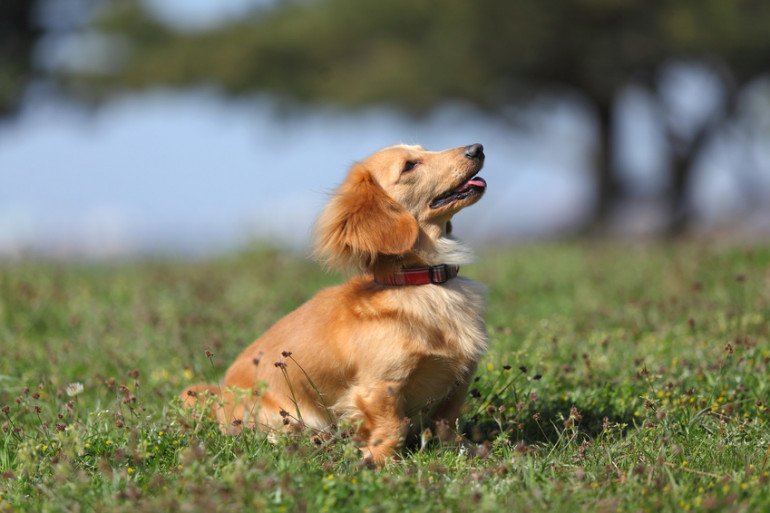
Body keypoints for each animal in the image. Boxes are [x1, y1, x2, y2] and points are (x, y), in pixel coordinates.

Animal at [182, 142, 486, 462]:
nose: (477, 148)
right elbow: (393, 427)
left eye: (425, 149)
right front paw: (379, 461)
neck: (422, 283)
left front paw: (462, 451)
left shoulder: (459, 379)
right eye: (409, 166)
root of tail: (221, 396)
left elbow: (447, 422)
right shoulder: (380, 386)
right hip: (283, 415)